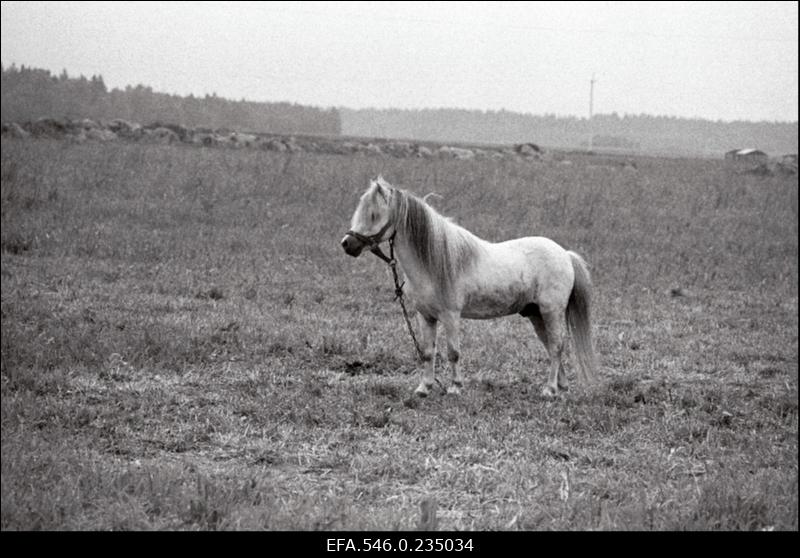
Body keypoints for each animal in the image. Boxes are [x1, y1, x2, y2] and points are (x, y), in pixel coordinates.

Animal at [340, 176, 596, 398]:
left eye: (374, 214)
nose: (347, 244)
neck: (433, 264)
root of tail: (565, 254)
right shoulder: (426, 316)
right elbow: (428, 352)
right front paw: (424, 388)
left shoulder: (451, 315)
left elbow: (453, 352)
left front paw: (455, 387)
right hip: (536, 314)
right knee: (552, 347)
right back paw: (560, 387)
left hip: (551, 311)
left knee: (556, 346)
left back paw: (550, 390)